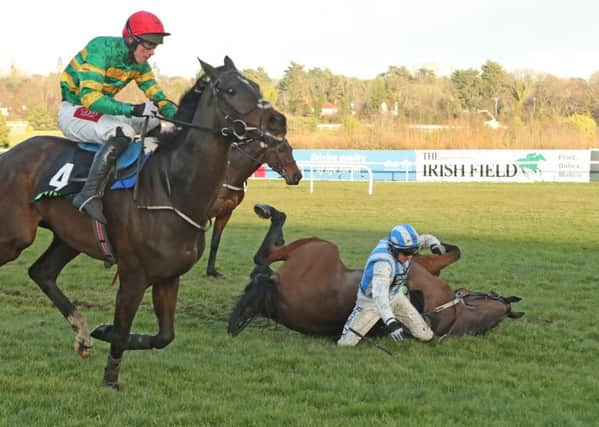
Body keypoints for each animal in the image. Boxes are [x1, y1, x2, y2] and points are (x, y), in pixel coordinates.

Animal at [0, 56, 288, 388]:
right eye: (229, 89)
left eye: (254, 85)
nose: (278, 121)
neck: (172, 189)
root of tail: (9, 155)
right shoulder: (133, 277)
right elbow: (123, 332)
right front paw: (110, 378)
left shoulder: (169, 277)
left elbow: (164, 336)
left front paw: (102, 331)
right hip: (14, 237)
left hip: (68, 238)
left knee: (42, 272)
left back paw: (83, 333)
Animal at [206, 138, 302, 278]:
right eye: (280, 150)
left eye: (291, 149)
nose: (297, 176)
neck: (229, 173)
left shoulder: (225, 213)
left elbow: (215, 242)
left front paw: (211, 271)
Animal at [227, 206, 524, 342]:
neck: (451, 312)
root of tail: (273, 303)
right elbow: (451, 252)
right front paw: (435, 243)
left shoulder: (420, 268)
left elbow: (451, 254)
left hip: (322, 247)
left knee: (263, 258)